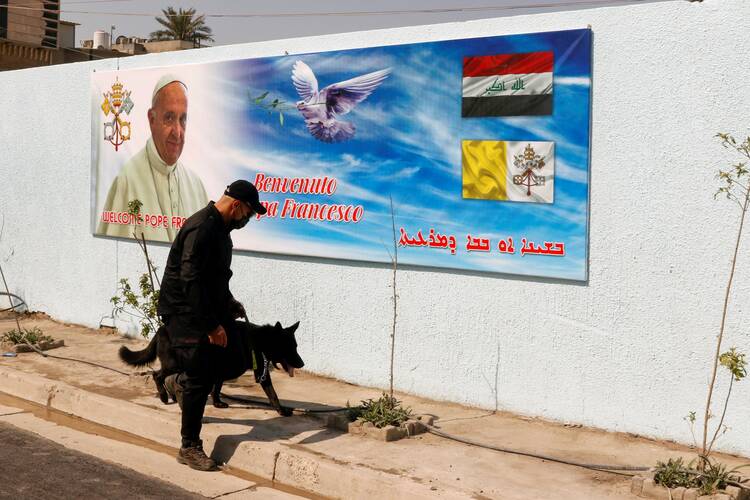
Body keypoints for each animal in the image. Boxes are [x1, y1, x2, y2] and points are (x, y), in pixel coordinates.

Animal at [119, 320, 304, 414]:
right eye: (289, 348)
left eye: (296, 346)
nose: (302, 364)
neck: (262, 339)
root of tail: (161, 330)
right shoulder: (261, 374)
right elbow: (273, 394)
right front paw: (281, 410)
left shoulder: (220, 370)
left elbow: (217, 388)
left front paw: (217, 403)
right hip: (175, 363)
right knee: (157, 375)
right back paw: (164, 396)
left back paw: (172, 394)